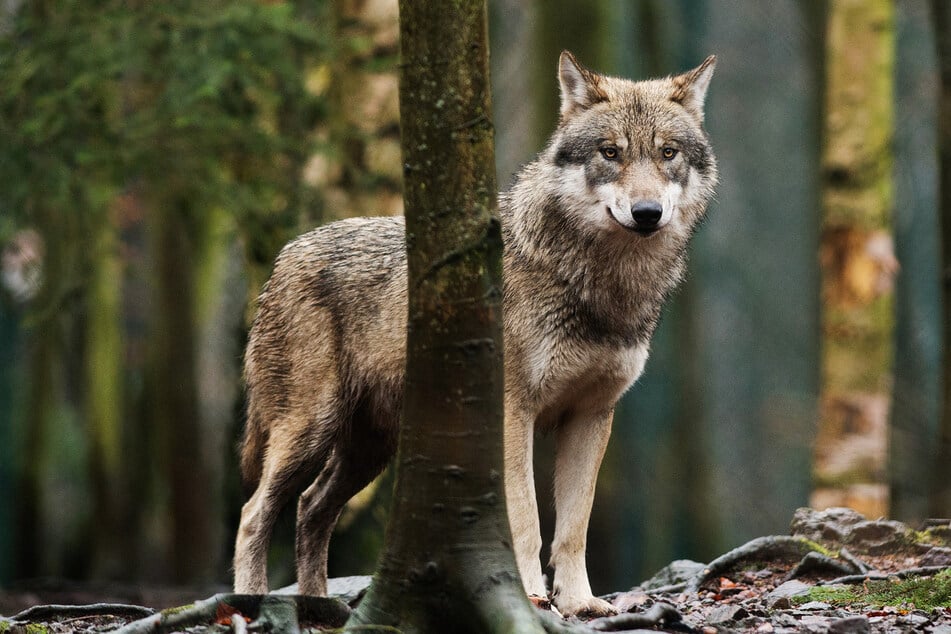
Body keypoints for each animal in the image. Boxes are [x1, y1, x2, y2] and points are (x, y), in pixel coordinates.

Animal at [233, 51, 717, 617]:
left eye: (667, 153)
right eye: (610, 152)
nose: (647, 213)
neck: (600, 285)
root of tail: (283, 257)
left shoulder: (592, 416)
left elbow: (574, 527)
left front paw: (581, 603)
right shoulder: (513, 412)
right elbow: (527, 521)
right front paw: (531, 598)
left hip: (369, 450)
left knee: (311, 509)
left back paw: (318, 608)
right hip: (310, 431)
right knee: (253, 514)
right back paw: (251, 604)